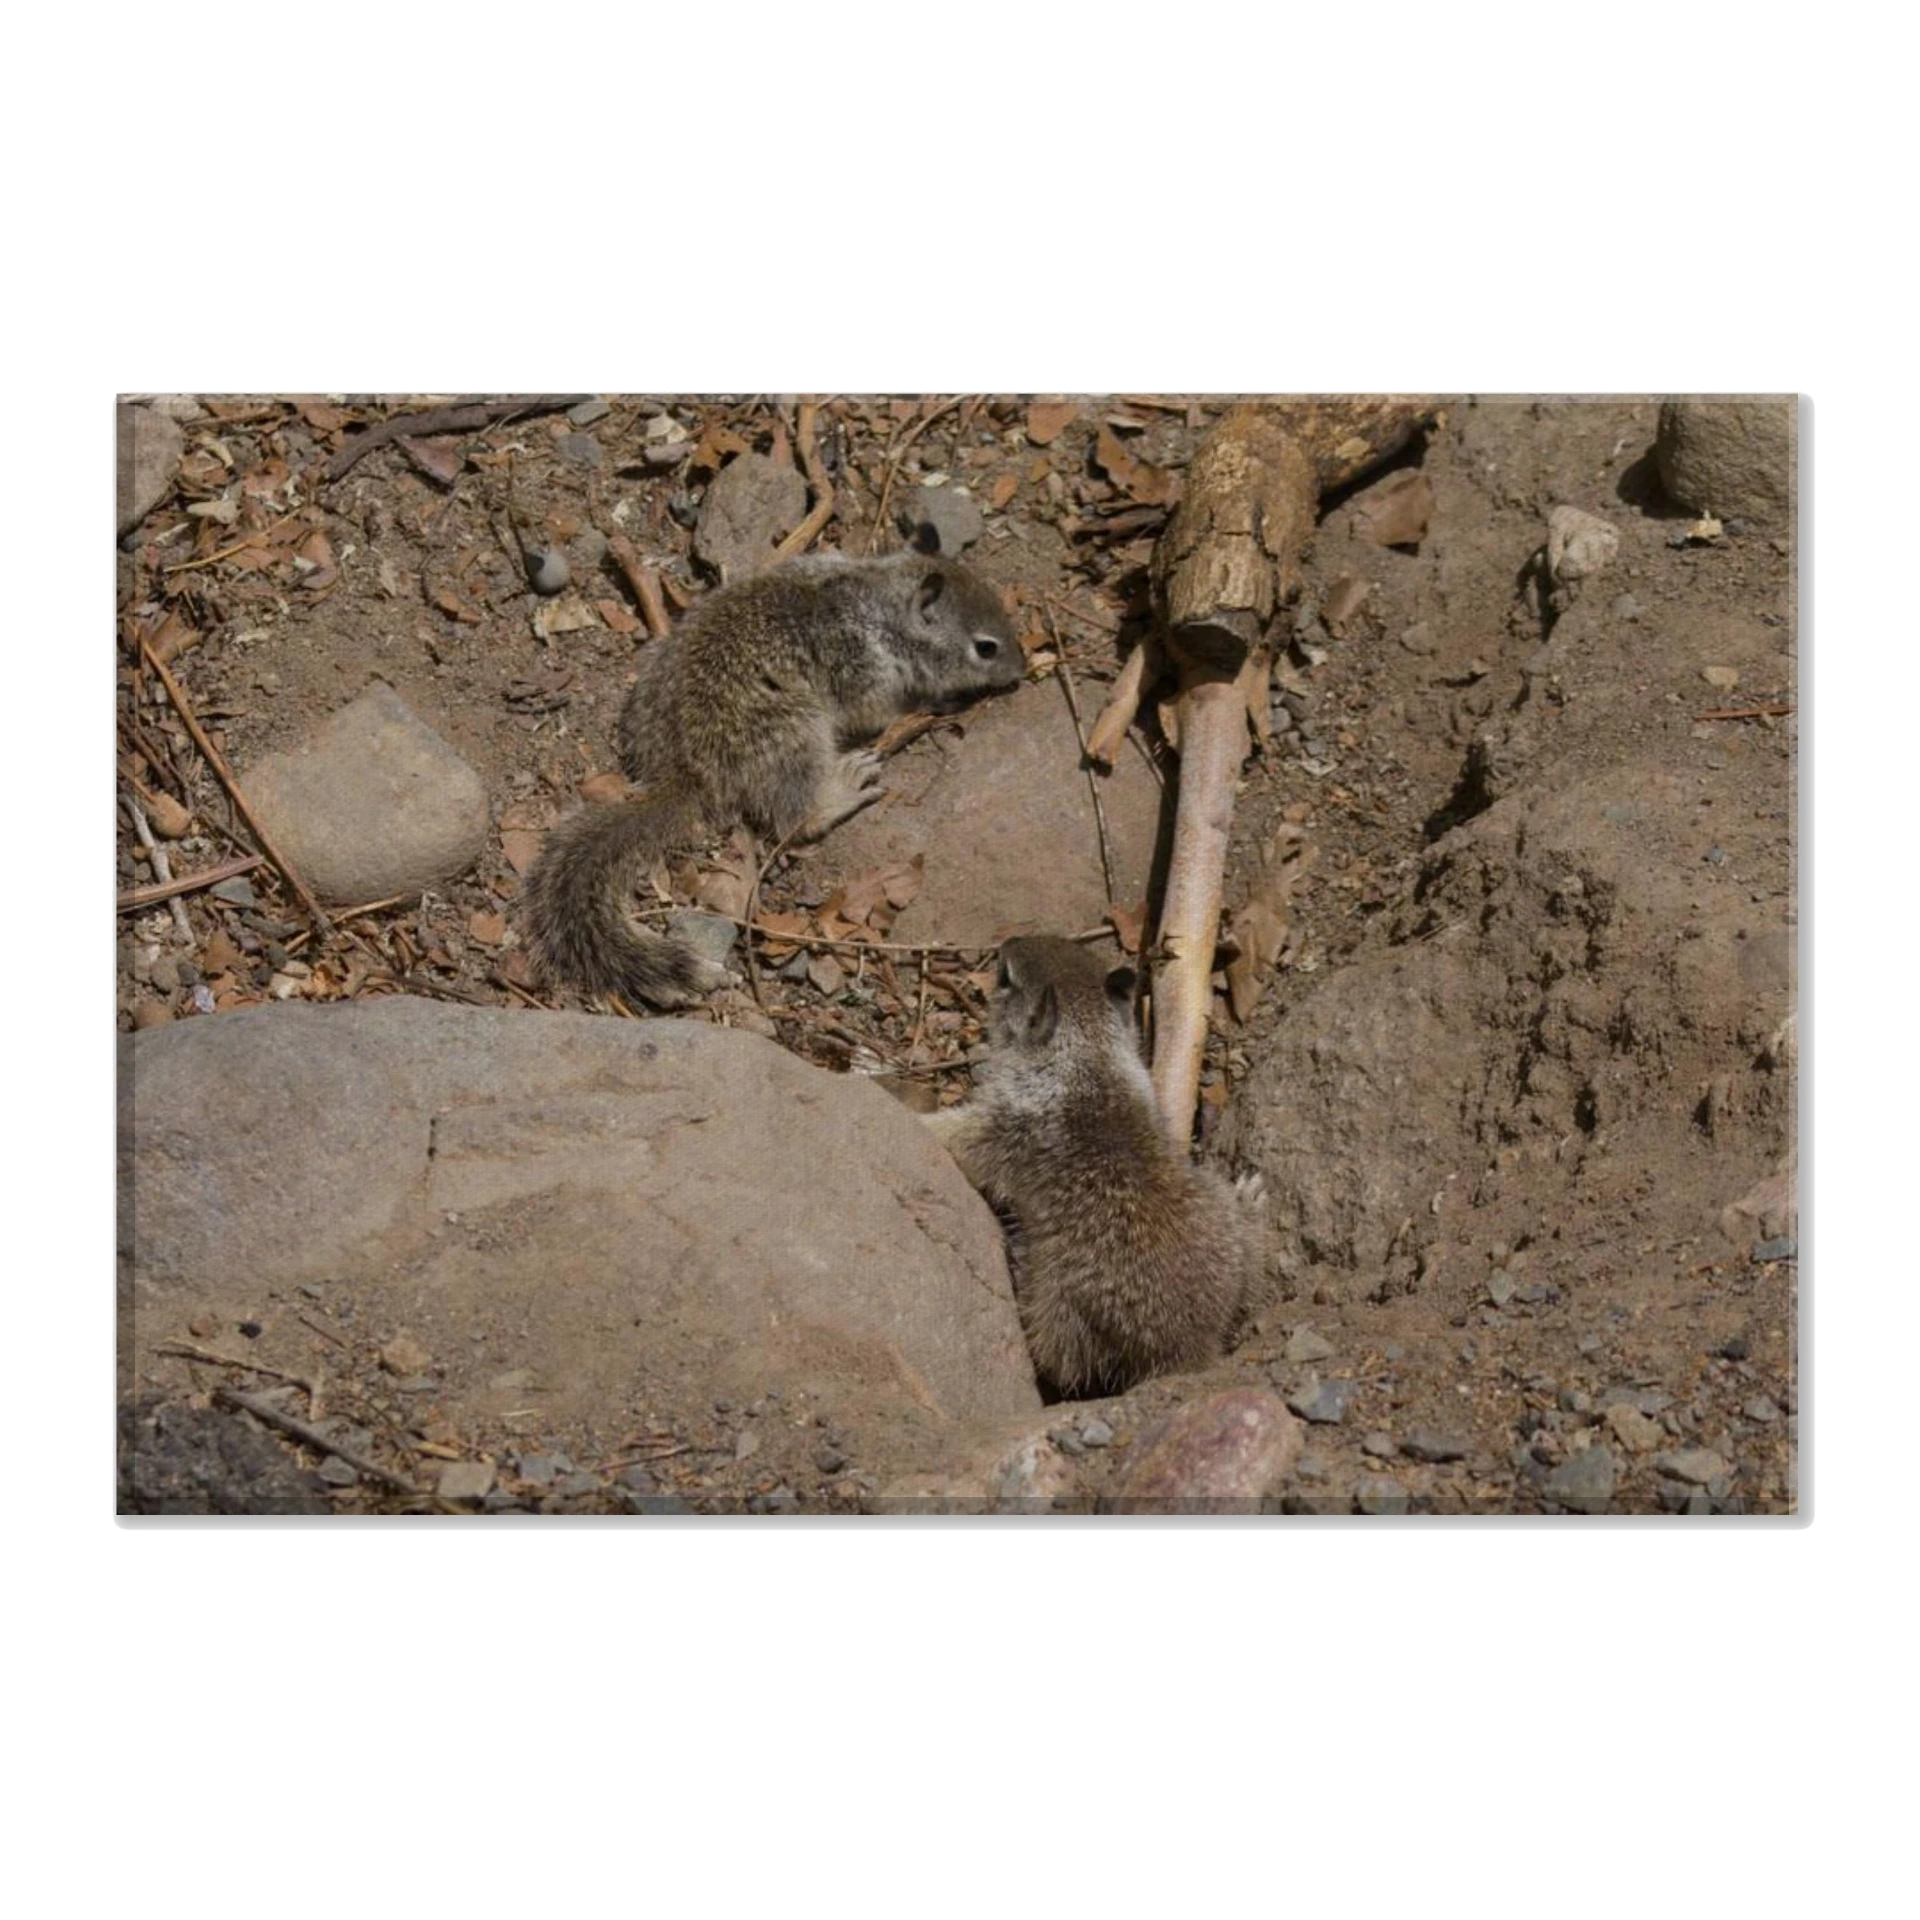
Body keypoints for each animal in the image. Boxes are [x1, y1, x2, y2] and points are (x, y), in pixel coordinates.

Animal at [521, 529, 1022, 1007]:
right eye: (986, 648)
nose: (1021, 670)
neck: (876, 603)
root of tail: (684, 774)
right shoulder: (865, 674)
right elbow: (879, 712)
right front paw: (936, 700)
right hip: (793, 735)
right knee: (797, 820)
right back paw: (844, 789)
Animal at [924, 935, 1270, 1398]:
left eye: (1006, 978)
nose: (1008, 941)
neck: (1087, 1057)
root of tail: (1192, 1346)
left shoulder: (1000, 1123)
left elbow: (954, 1137)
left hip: (1060, 1307)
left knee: (1061, 1363)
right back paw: (1250, 1202)